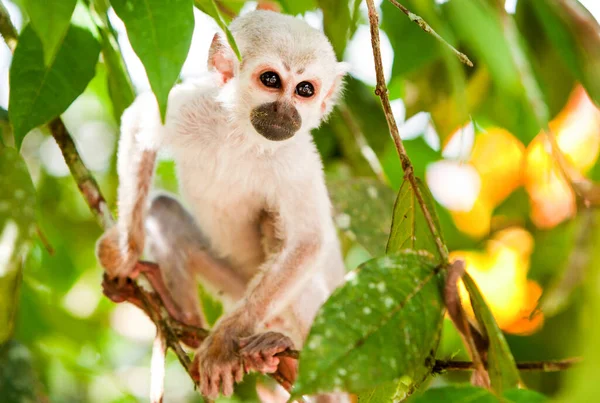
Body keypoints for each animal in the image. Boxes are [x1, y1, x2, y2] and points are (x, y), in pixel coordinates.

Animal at [96, 8, 350, 400]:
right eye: (271, 80)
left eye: (305, 89)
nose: (285, 112)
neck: (243, 139)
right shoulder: (195, 107)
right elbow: (140, 123)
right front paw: (126, 249)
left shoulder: (298, 162)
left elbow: (308, 242)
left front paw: (224, 345)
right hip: (234, 284)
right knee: (164, 210)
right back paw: (183, 318)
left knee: (275, 226)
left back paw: (284, 354)